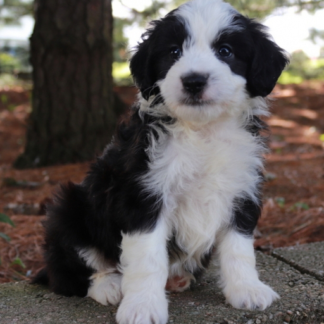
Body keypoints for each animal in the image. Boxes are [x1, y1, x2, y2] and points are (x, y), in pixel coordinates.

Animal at [33, 0, 288, 322]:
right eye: (174, 52)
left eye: (226, 51)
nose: (194, 81)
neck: (202, 131)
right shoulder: (143, 196)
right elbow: (147, 259)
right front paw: (142, 306)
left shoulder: (242, 189)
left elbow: (239, 248)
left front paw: (247, 289)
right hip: (70, 209)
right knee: (71, 274)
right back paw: (109, 286)